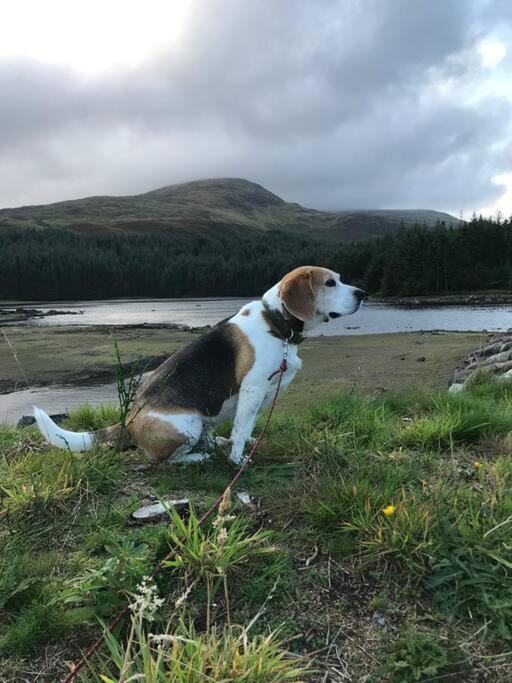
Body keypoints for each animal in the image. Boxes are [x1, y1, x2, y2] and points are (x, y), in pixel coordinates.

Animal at [34, 266, 366, 464]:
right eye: (330, 282)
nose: (362, 294)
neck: (276, 323)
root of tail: (129, 420)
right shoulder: (253, 388)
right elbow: (240, 431)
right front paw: (237, 460)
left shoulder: (263, 394)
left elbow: (245, 427)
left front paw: (241, 443)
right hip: (188, 426)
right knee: (163, 461)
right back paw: (199, 458)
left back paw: (214, 443)